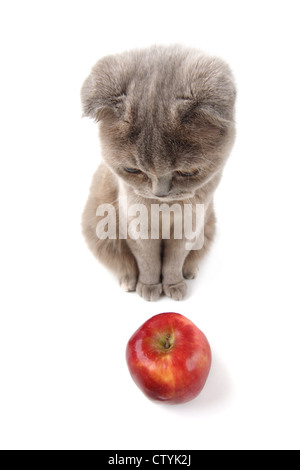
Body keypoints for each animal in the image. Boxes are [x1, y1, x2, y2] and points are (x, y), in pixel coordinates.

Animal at [81, 44, 236, 302]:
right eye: (132, 170)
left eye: (187, 172)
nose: (160, 193)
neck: (165, 211)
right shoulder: (135, 226)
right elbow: (148, 260)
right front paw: (150, 287)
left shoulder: (190, 225)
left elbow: (174, 260)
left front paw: (173, 285)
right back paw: (128, 281)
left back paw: (190, 271)